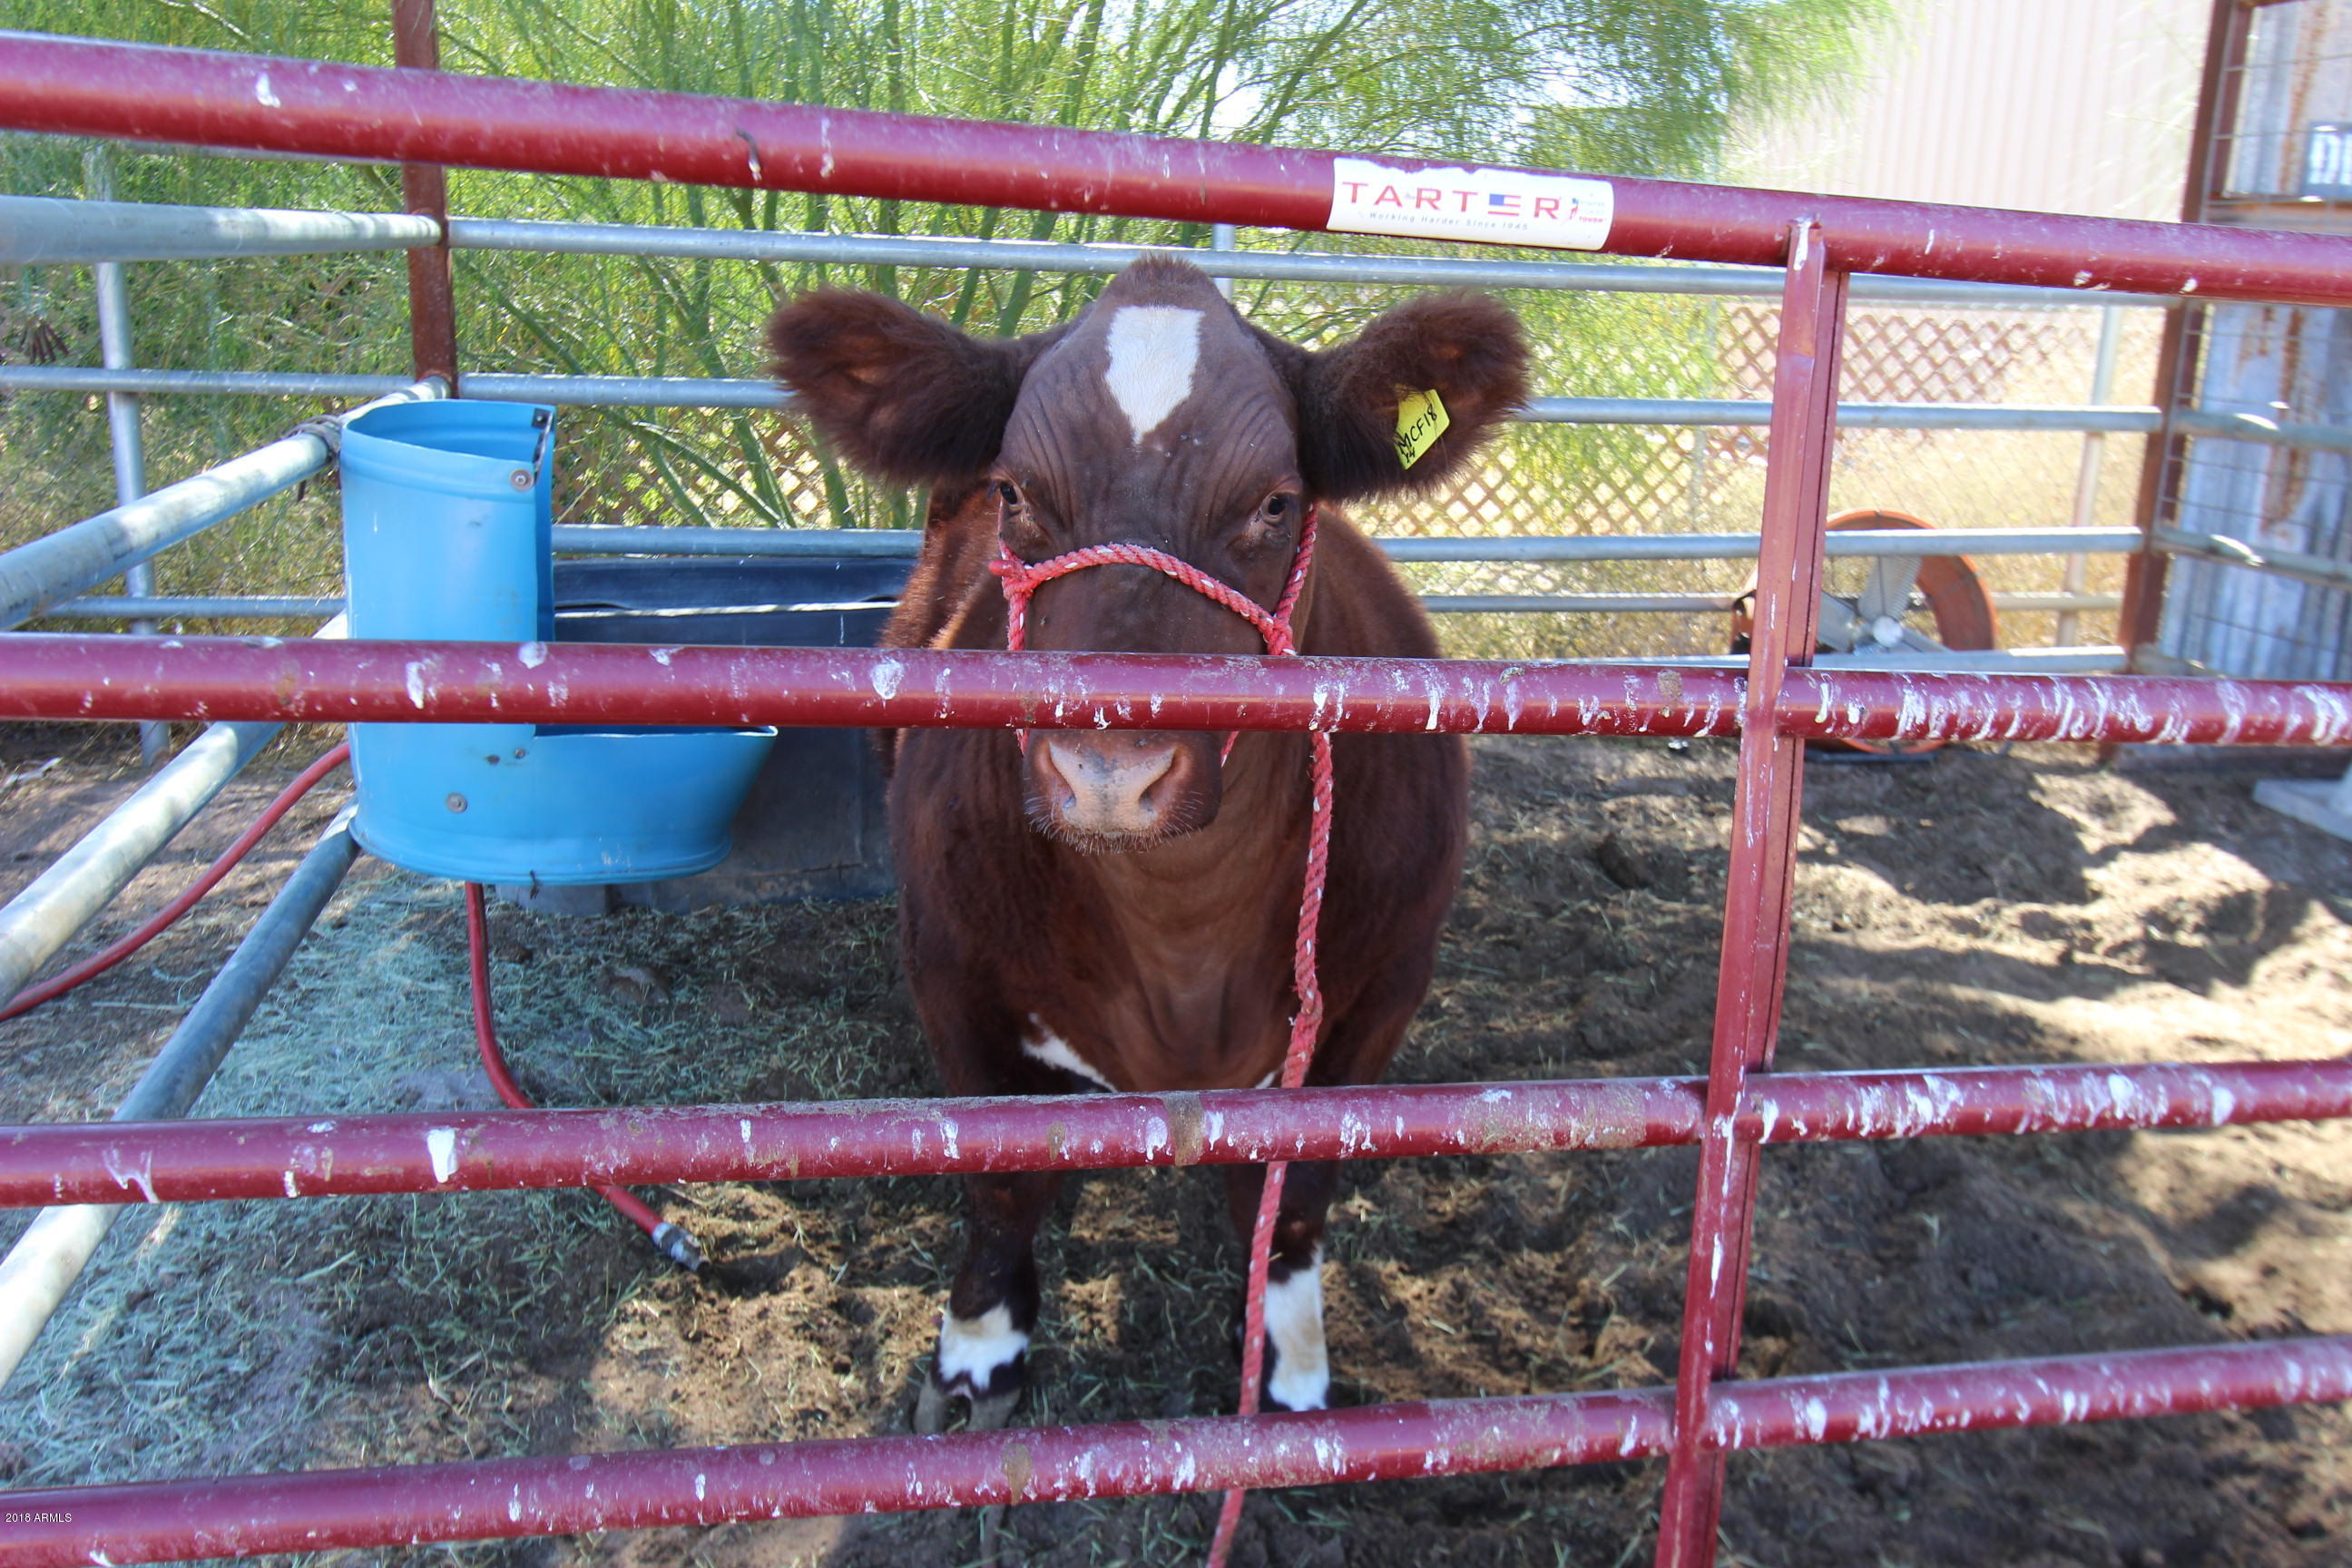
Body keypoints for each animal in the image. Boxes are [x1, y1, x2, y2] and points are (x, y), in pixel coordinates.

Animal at [768, 256, 1527, 1431]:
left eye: (1276, 502)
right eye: (1015, 493)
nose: (1108, 774)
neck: (1182, 942)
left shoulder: (1383, 988)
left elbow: (1295, 1194)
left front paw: (1286, 1361)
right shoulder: (951, 970)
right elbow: (1001, 1180)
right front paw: (979, 1353)